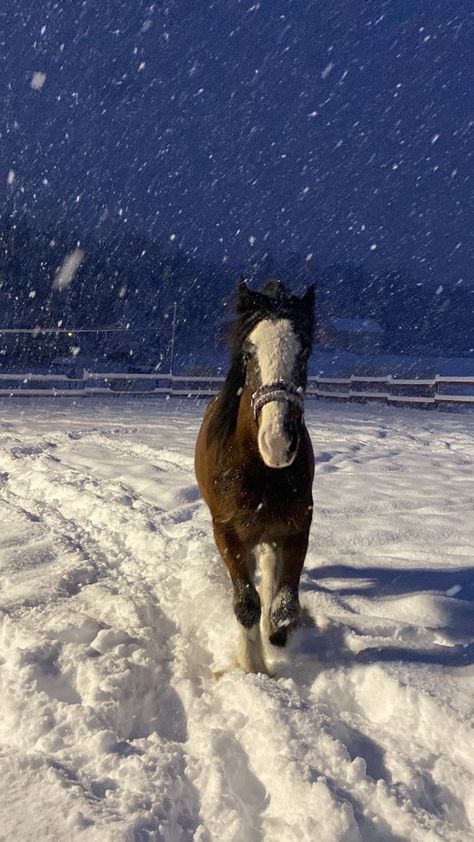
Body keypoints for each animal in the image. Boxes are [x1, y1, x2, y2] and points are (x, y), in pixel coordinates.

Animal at [194, 278, 312, 672]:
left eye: (305, 353)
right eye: (248, 352)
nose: (277, 442)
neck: (262, 474)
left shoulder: (295, 532)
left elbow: (283, 604)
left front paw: (276, 638)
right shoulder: (227, 534)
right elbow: (245, 603)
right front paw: (253, 666)